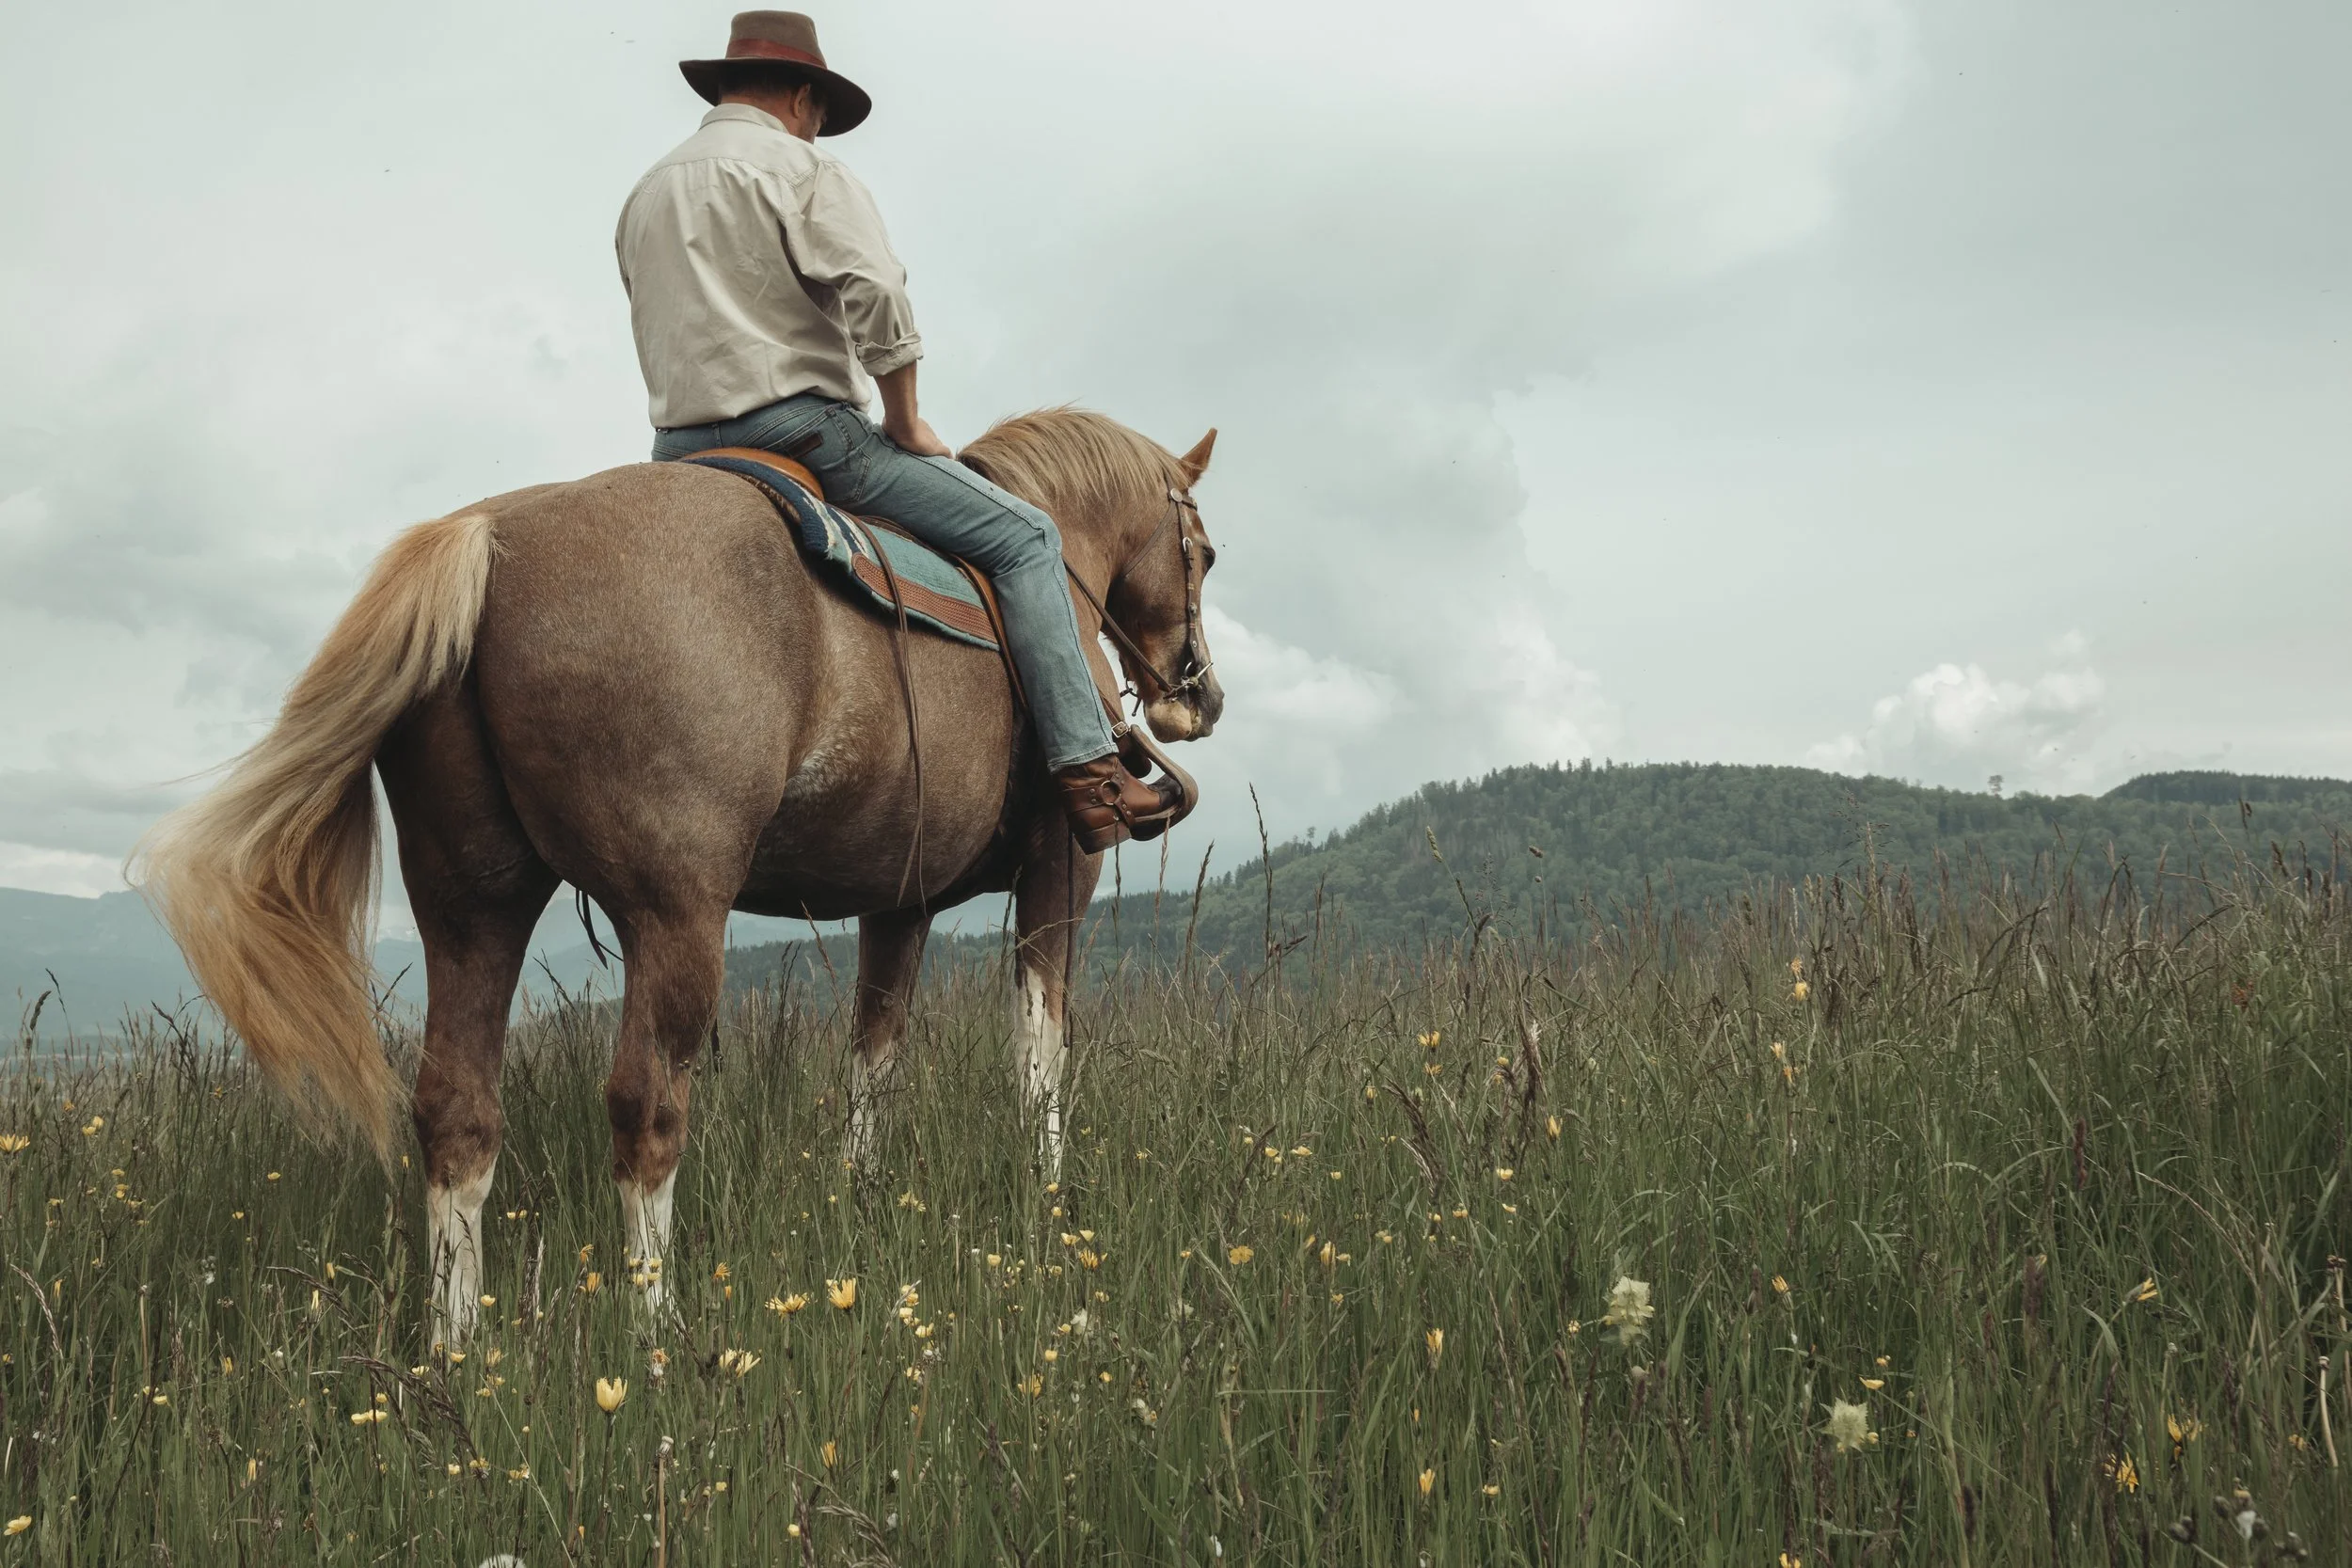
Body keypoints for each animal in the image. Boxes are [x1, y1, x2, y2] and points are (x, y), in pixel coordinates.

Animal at [134, 408, 1222, 1341]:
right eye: (1203, 553)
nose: (1197, 697)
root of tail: (488, 537)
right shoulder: (1061, 865)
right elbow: (1038, 1050)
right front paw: (1049, 1199)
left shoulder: (896, 905)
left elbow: (872, 1060)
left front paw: (861, 1197)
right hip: (675, 916)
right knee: (647, 1107)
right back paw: (657, 1334)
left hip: (471, 905)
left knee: (455, 1110)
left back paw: (456, 1343)